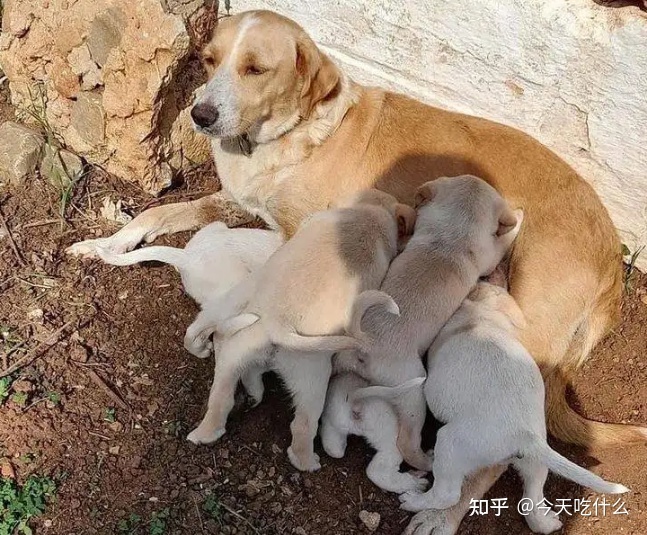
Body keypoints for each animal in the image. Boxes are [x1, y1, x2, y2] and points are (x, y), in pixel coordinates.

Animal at [184, 191, 416, 472]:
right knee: (303, 425)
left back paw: (204, 432)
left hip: (239, 341)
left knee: (220, 390)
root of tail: (278, 323)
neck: (368, 212)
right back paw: (308, 462)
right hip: (311, 373)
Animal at [336, 174, 524, 472]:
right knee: (406, 442)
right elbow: (504, 241)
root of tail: (363, 344)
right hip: (413, 393)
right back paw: (426, 461)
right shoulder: (489, 255)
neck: (452, 232)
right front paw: (520, 216)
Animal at [400, 282, 628, 532]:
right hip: (535, 462)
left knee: (447, 494)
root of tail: (524, 436)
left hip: (450, 445)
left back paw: (413, 500)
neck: (483, 318)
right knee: (532, 497)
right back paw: (547, 522)